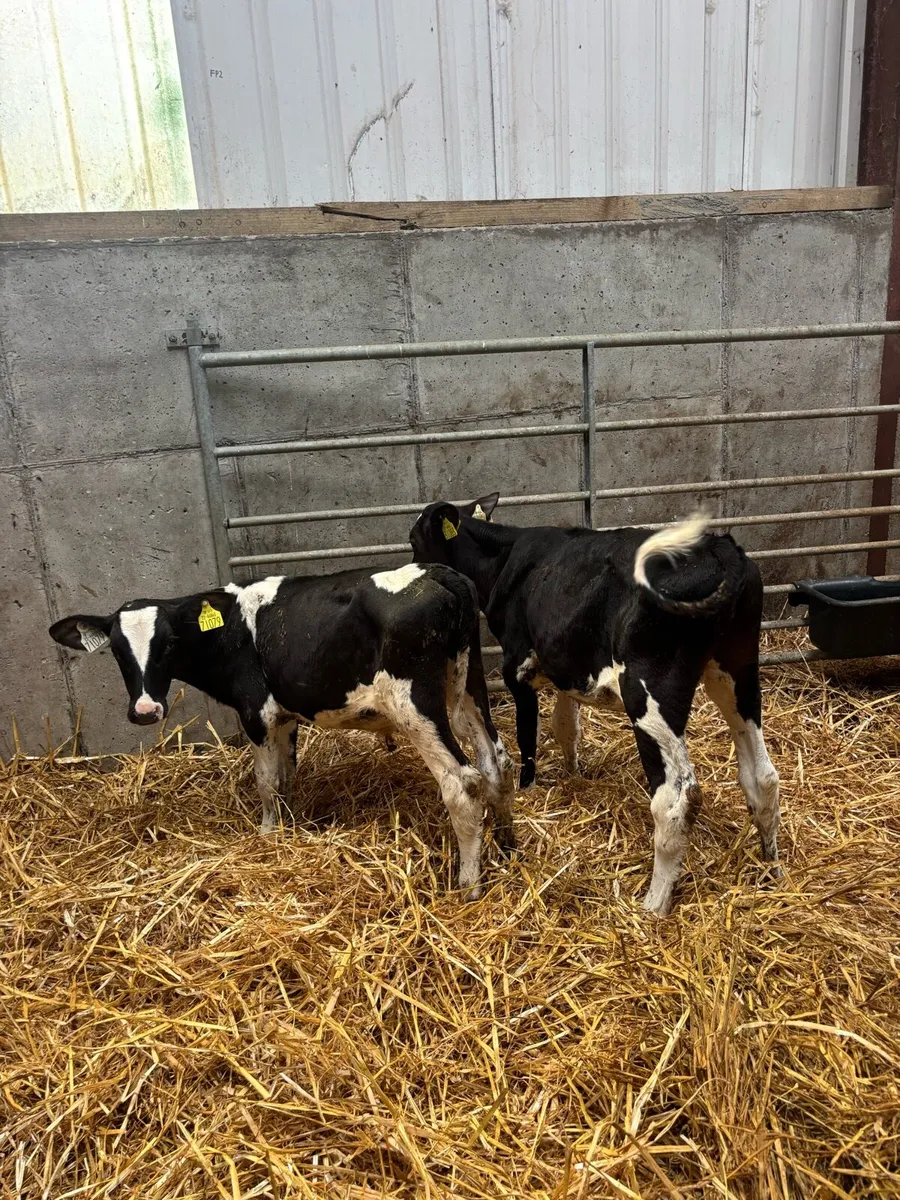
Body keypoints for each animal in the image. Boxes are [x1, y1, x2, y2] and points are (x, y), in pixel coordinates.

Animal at [49, 563, 516, 899]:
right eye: (117, 651)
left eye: (169, 643)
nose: (146, 710)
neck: (230, 630)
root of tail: (439, 572)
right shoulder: (286, 716)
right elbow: (287, 775)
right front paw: (289, 826)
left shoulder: (256, 713)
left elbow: (266, 781)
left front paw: (268, 834)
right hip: (470, 687)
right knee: (496, 762)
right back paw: (507, 843)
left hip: (416, 708)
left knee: (462, 782)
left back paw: (468, 885)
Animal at [409, 494, 781, 916]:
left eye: (413, 540)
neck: (504, 557)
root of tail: (720, 549)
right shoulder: (565, 667)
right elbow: (565, 726)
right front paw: (574, 774)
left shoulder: (516, 667)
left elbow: (528, 735)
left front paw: (528, 787)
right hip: (737, 670)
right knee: (762, 775)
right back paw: (772, 865)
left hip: (650, 691)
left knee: (677, 798)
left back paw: (654, 904)